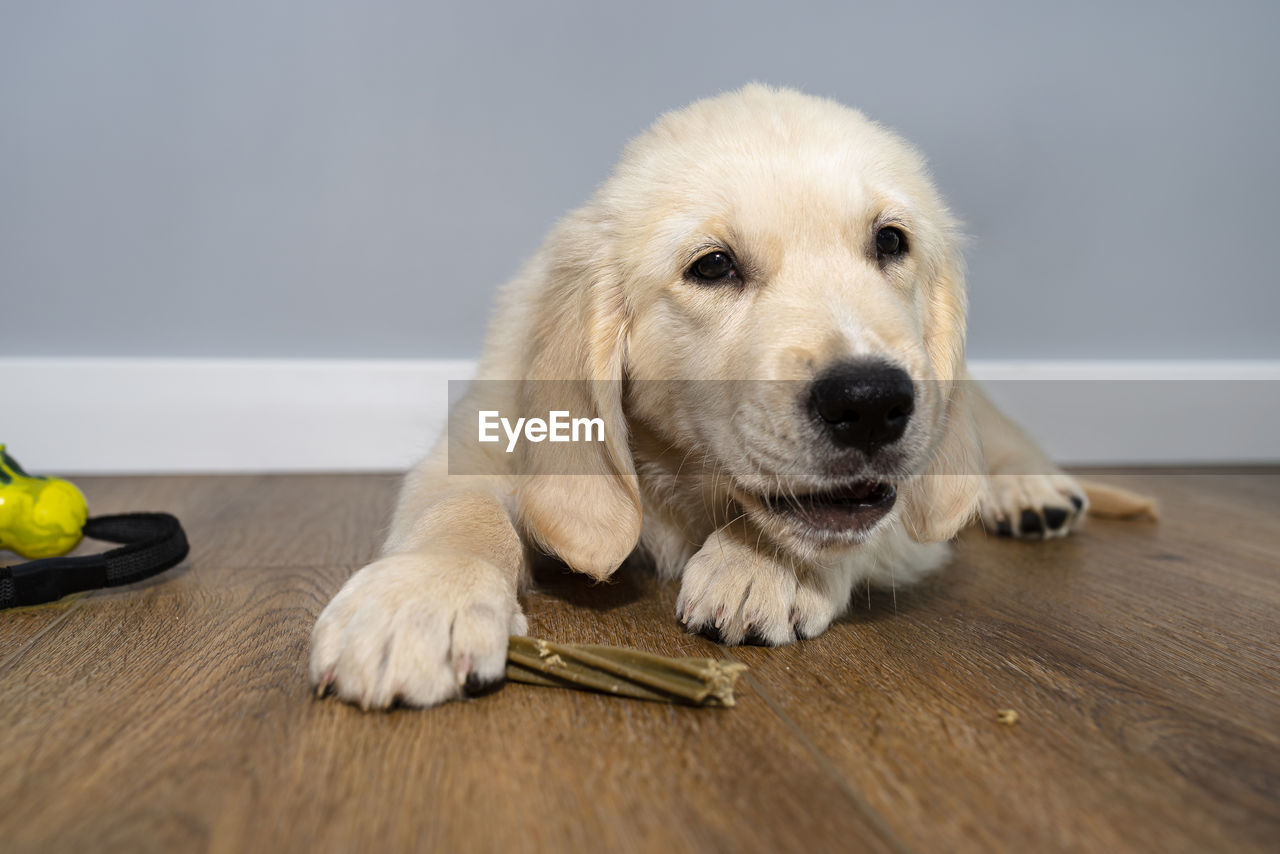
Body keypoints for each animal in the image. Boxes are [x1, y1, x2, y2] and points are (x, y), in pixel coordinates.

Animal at [307, 85, 1090, 706]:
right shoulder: (478, 436)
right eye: (713, 266)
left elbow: (868, 523)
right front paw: (418, 601)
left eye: (891, 242)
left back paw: (1031, 490)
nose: (871, 402)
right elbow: (461, 511)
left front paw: (760, 566)